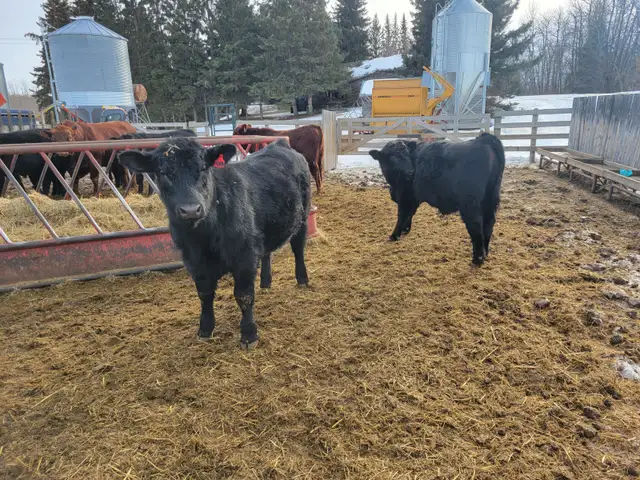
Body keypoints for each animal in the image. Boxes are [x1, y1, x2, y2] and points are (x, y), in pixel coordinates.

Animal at [118, 138, 312, 349]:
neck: (205, 236)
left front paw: (249, 334)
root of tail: (280, 143)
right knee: (267, 253)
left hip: (302, 217)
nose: (191, 210)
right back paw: (265, 282)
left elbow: (243, 295)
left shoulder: (244, 257)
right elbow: (205, 295)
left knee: (298, 249)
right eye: (163, 172)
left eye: (203, 168)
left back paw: (302, 280)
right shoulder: (194, 261)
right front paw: (205, 329)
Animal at [368, 133, 505, 266]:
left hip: (470, 204)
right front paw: (405, 230)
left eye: (407, 154)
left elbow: (402, 215)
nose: (410, 172)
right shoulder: (413, 198)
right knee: (489, 223)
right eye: (392, 158)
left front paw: (394, 235)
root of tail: (483, 139)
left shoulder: (405, 196)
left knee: (476, 226)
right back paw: (485, 253)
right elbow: (409, 214)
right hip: (489, 199)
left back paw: (477, 259)